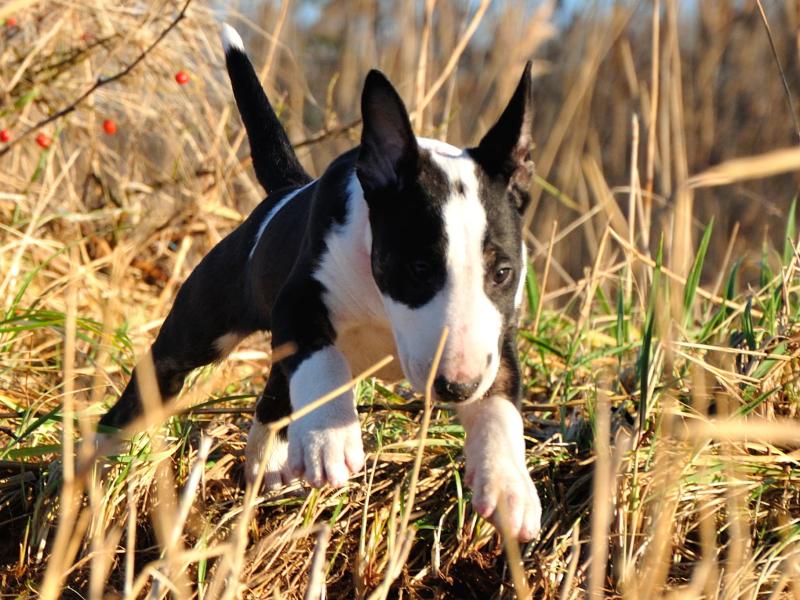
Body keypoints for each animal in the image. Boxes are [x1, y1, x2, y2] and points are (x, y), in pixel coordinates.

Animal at [100, 23, 544, 540]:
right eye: (419, 268)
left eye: (502, 272)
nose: (456, 388)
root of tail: (284, 191)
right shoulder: (299, 300)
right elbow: (321, 357)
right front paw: (330, 441)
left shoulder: (499, 339)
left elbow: (501, 404)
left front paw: (510, 487)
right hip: (197, 334)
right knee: (151, 383)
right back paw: (94, 463)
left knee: (273, 398)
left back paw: (270, 465)